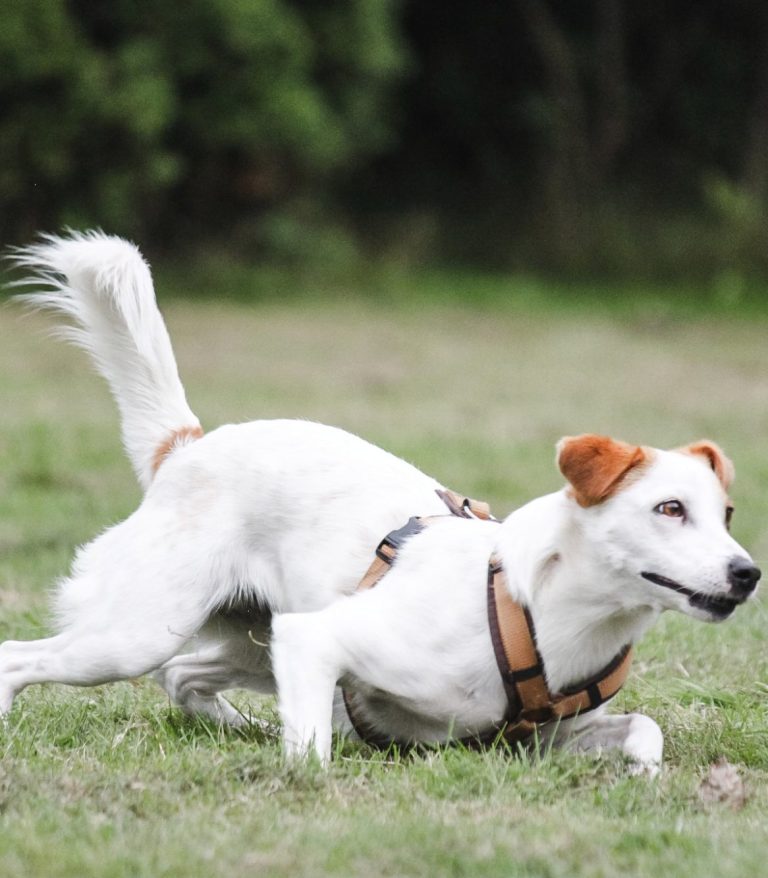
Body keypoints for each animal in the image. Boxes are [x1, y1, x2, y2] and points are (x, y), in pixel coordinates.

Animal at [4, 229, 760, 776]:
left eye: (725, 515)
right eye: (669, 509)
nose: (748, 573)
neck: (539, 610)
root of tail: (186, 447)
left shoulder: (543, 740)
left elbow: (643, 728)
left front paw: (645, 774)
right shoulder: (318, 639)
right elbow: (311, 754)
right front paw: (305, 774)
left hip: (251, 640)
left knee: (185, 676)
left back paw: (243, 727)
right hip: (137, 633)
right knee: (24, 656)